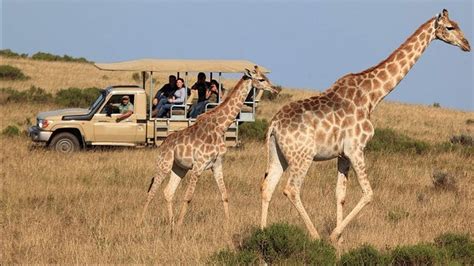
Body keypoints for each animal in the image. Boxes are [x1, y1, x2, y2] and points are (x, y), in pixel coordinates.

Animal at [139, 66, 276, 227]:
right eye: (261, 79)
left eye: (265, 77)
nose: (274, 89)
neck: (221, 126)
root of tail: (162, 144)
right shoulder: (199, 165)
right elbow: (188, 197)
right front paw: (180, 225)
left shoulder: (217, 164)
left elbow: (224, 194)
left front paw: (228, 224)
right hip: (164, 164)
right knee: (151, 192)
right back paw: (140, 222)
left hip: (179, 168)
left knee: (168, 192)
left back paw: (171, 223)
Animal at [260, 9, 470, 244]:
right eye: (450, 27)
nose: (466, 45)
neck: (372, 95)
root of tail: (274, 125)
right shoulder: (356, 148)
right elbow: (368, 193)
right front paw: (334, 236)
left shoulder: (342, 154)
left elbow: (340, 195)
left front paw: (340, 241)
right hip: (302, 155)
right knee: (291, 189)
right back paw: (314, 236)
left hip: (277, 153)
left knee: (267, 187)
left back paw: (262, 234)